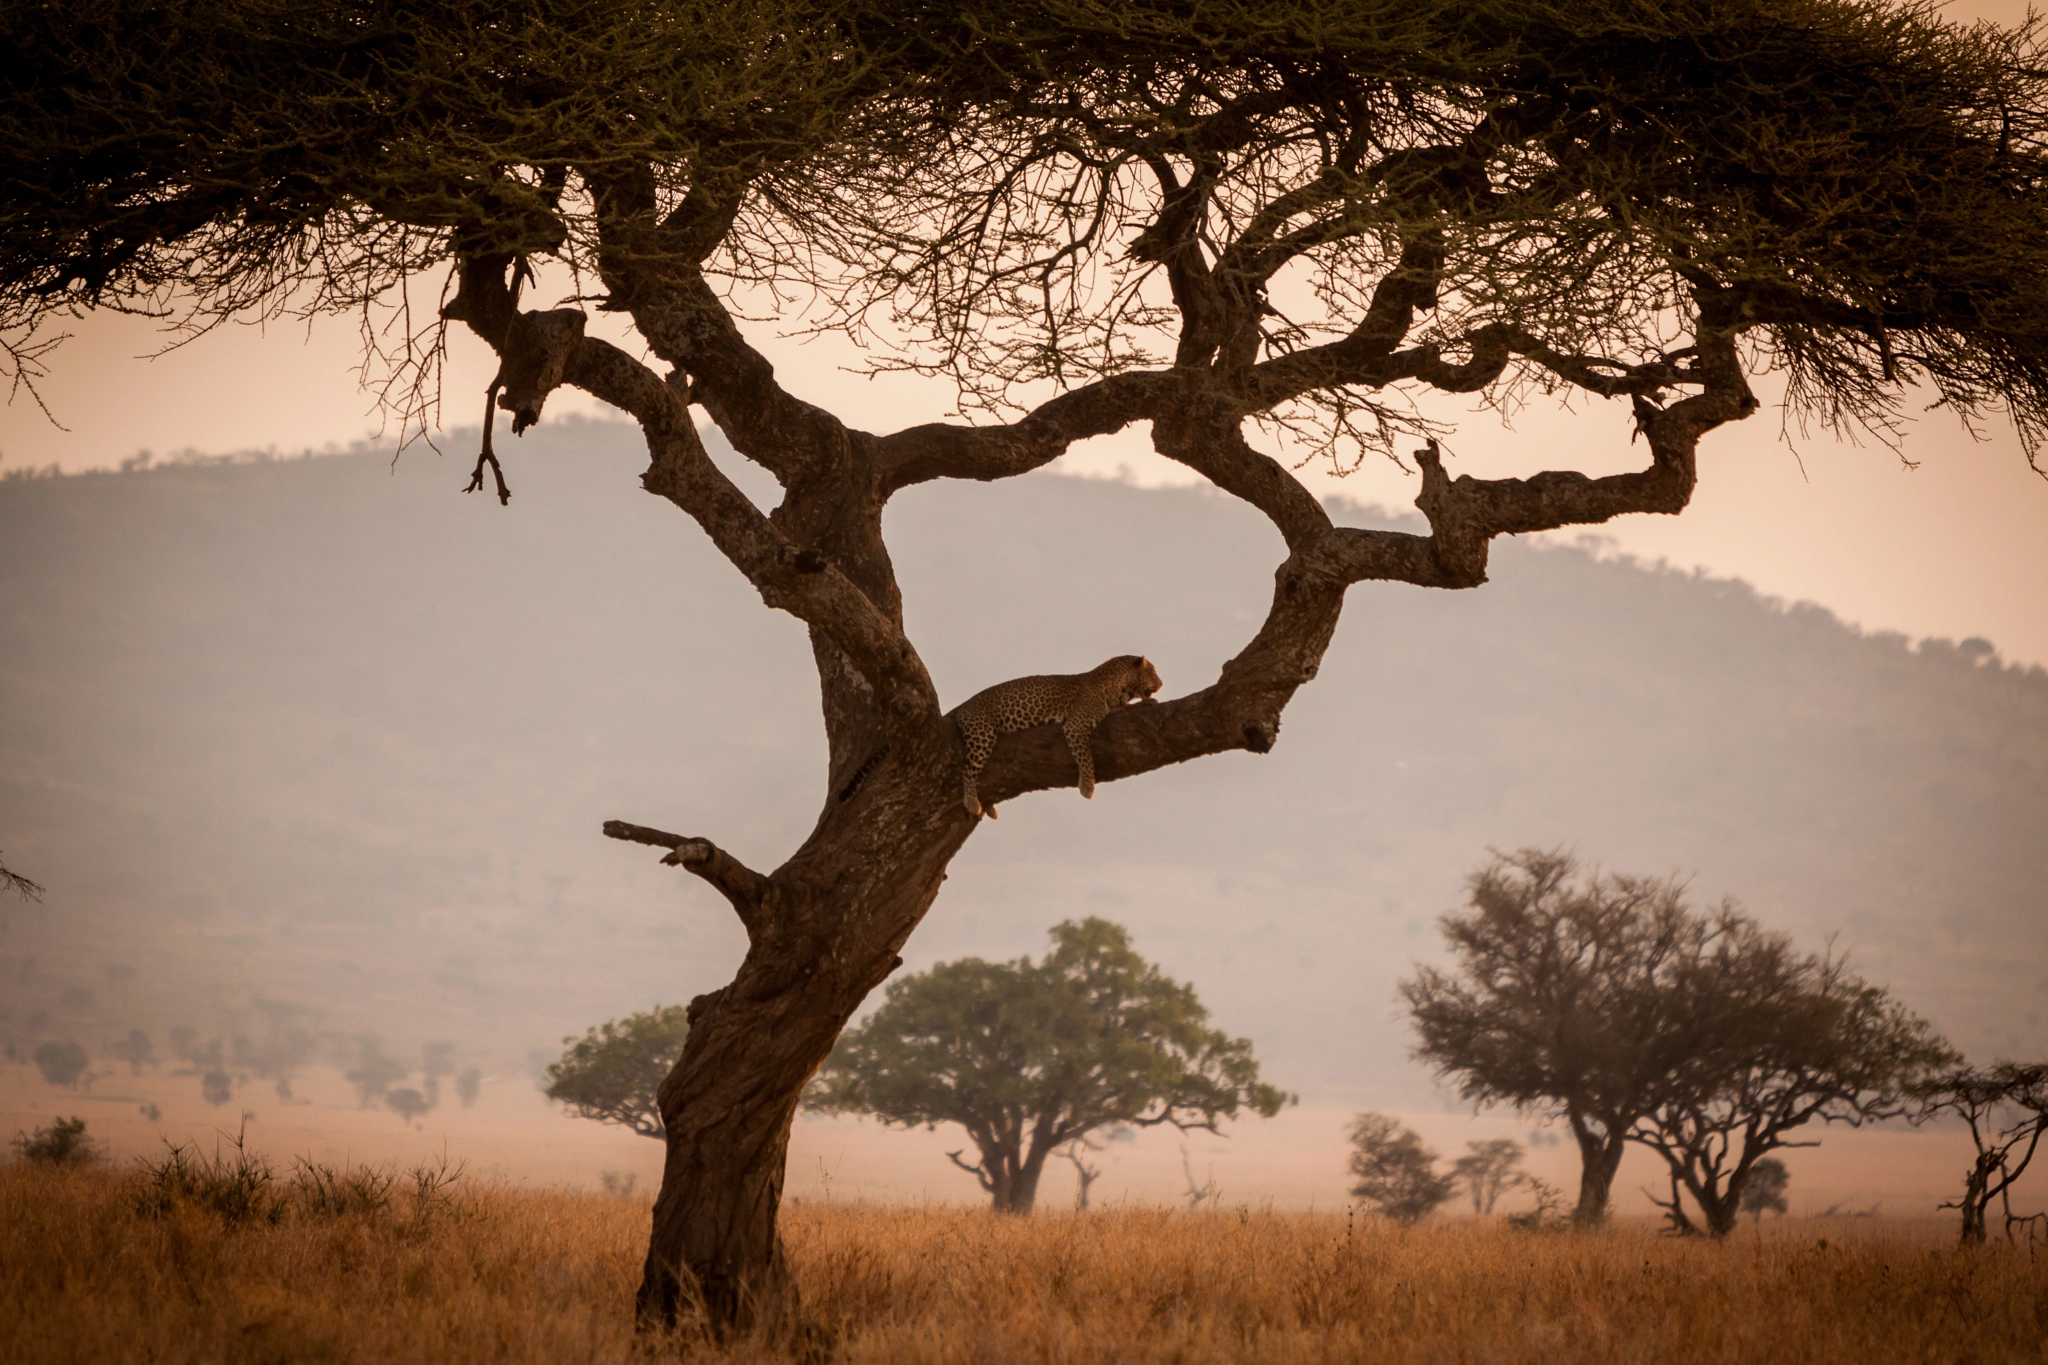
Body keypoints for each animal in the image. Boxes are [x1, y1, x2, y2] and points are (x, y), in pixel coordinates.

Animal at [950, 654, 1163, 822]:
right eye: (1152, 671)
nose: (1161, 684)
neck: (1116, 689)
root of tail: (961, 706)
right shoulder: (1076, 724)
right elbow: (1086, 757)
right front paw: (1087, 787)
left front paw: (1149, 702)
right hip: (982, 734)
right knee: (967, 770)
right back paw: (972, 803)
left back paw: (990, 808)